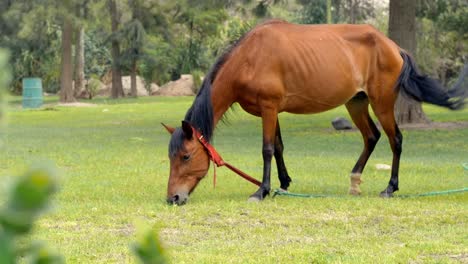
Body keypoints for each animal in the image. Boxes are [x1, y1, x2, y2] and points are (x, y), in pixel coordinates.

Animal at [163, 20, 466, 206]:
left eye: (186, 156)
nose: (173, 198)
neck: (250, 57)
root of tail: (394, 47)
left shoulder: (269, 107)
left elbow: (267, 149)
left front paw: (261, 191)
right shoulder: (271, 111)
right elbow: (279, 147)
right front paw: (283, 184)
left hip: (381, 103)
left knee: (396, 140)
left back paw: (390, 188)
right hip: (356, 103)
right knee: (371, 137)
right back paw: (354, 182)